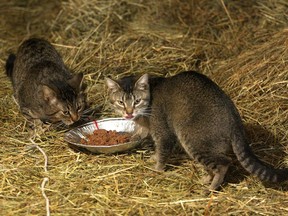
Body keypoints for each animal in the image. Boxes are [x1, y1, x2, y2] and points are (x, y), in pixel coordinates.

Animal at [106, 71, 288, 192]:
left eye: (136, 101)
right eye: (121, 102)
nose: (129, 113)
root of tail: (235, 121)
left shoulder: (163, 133)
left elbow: (162, 152)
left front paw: (157, 170)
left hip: (193, 141)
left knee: (224, 164)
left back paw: (211, 188)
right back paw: (206, 179)